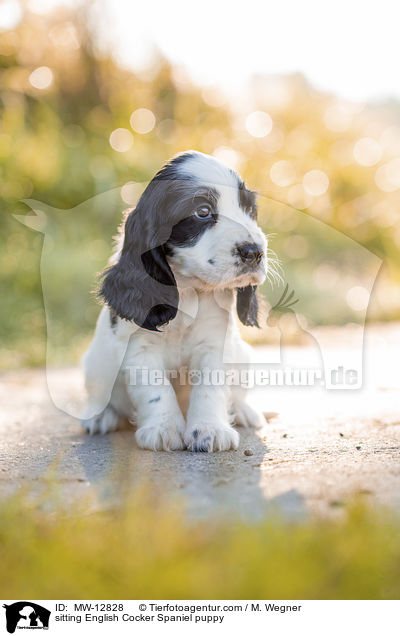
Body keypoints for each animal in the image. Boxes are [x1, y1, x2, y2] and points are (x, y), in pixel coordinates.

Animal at [81, 150, 268, 452]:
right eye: (202, 211)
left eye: (250, 210)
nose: (255, 252)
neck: (189, 288)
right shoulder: (140, 347)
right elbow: (156, 388)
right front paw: (164, 429)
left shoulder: (214, 343)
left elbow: (210, 386)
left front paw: (210, 430)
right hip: (95, 365)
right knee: (100, 394)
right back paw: (99, 416)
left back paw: (243, 411)